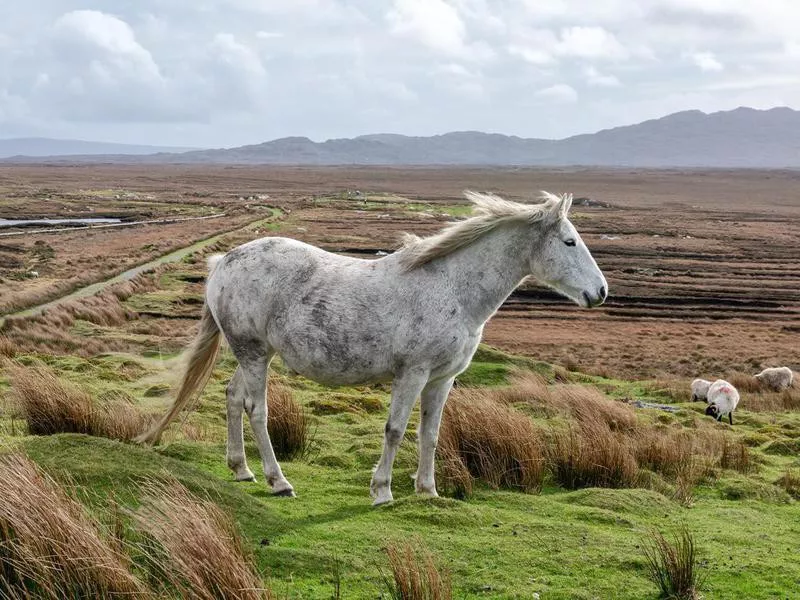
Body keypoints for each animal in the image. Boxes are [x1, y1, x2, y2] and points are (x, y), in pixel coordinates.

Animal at [138, 190, 608, 504]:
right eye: (570, 242)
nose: (601, 292)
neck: (452, 287)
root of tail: (224, 261)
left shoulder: (442, 379)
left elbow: (431, 433)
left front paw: (428, 490)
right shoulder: (412, 373)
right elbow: (395, 429)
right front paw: (382, 490)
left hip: (255, 353)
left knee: (233, 397)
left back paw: (241, 469)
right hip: (253, 354)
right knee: (257, 409)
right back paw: (278, 481)